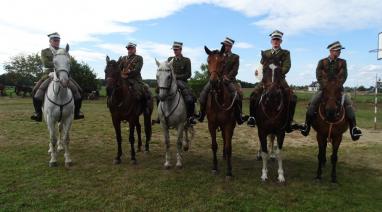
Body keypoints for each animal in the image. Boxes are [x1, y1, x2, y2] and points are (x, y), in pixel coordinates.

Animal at [254, 52, 290, 182]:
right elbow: (264, 153)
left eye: (279, 70)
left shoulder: (280, 131)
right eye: (264, 70)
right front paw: (264, 174)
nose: (272, 95)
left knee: (272, 138)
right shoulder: (262, 130)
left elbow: (279, 153)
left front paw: (281, 175)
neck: (271, 105)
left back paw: (272, 155)